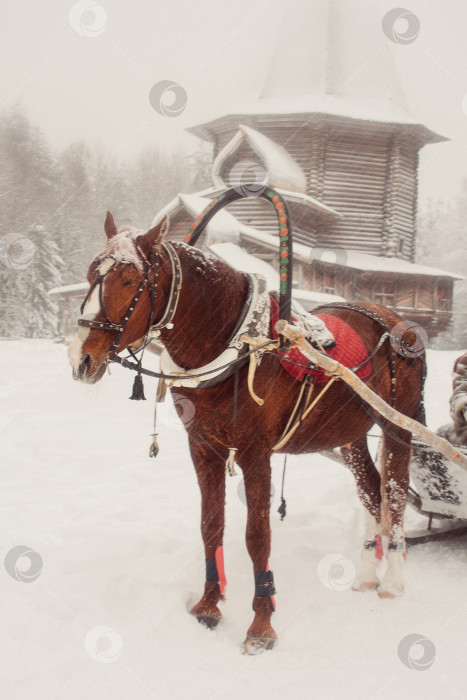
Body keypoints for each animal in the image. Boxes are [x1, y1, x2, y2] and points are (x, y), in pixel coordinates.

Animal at [68, 211, 424, 652]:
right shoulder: (204, 447)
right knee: (373, 493)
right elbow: (210, 525)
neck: (236, 342)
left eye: (130, 279)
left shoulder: (257, 452)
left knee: (395, 493)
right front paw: (208, 604)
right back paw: (366, 575)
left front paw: (261, 623)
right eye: (89, 274)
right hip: (352, 436)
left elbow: (258, 536)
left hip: (397, 425)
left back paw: (392, 580)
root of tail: (396, 322)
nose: (81, 358)